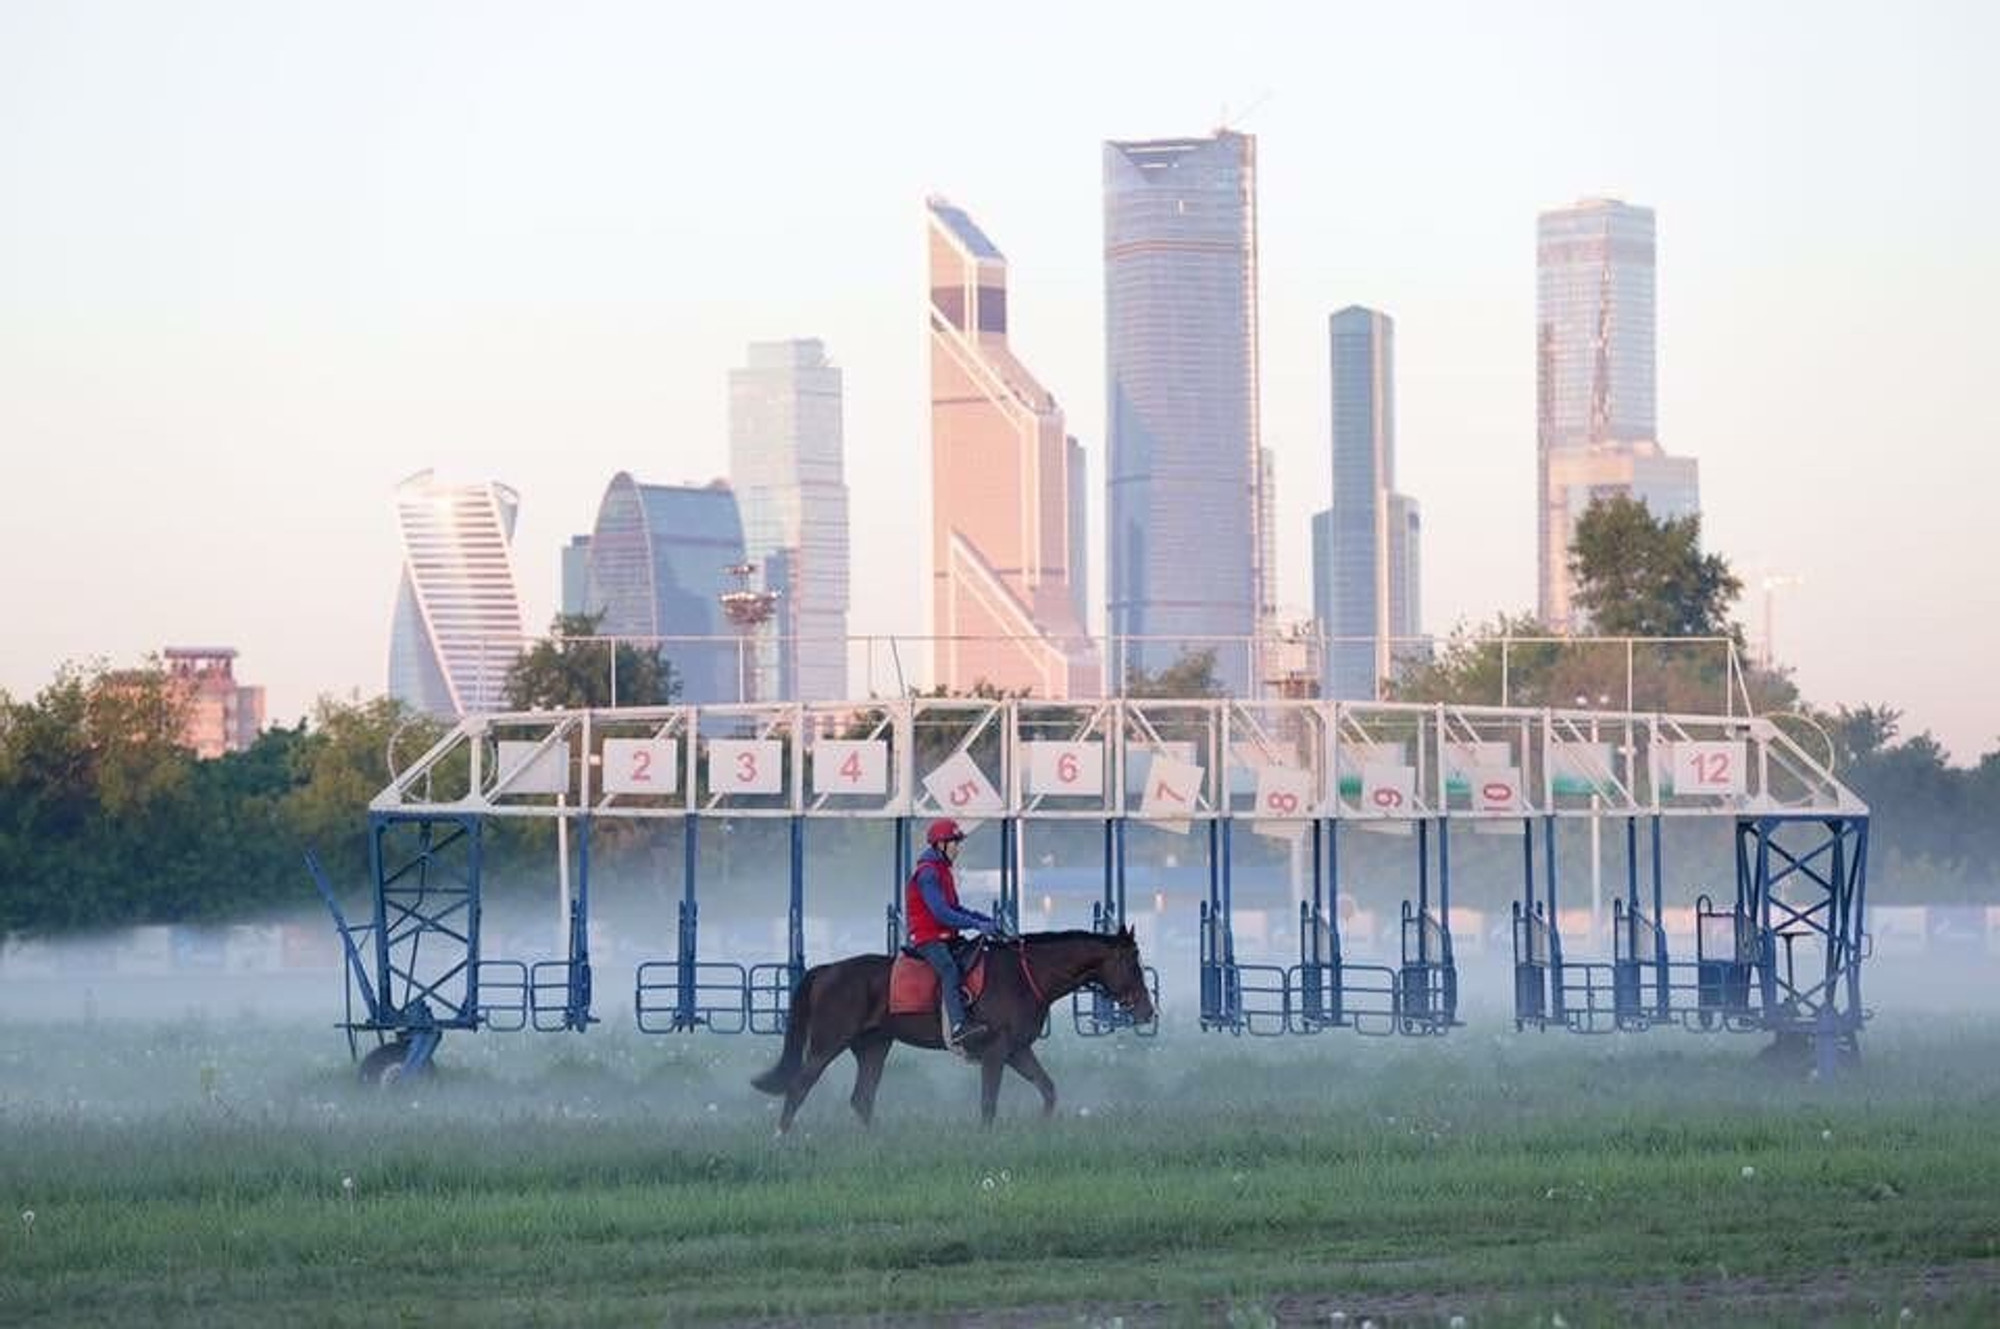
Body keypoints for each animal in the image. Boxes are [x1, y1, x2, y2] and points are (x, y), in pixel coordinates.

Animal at [752, 924, 1160, 1128]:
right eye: (1132, 962)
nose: (1146, 1011)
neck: (1026, 975)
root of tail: (825, 971)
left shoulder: (1018, 1050)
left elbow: (1048, 1090)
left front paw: (1043, 1128)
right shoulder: (996, 1052)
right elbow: (988, 1104)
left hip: (873, 1046)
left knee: (862, 1099)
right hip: (827, 1044)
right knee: (799, 1086)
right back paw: (781, 1138)